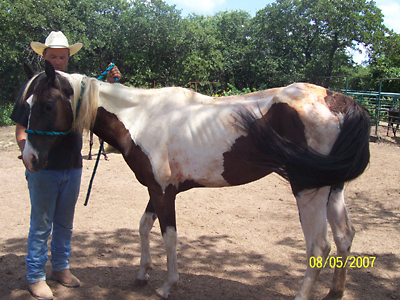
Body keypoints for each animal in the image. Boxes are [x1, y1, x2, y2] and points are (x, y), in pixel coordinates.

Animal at [19, 59, 368, 298]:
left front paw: (166, 286)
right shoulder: (156, 189)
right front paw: (142, 273)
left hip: (309, 189)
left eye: (47, 104)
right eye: (28, 105)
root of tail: (339, 100)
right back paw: (335, 292)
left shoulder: (164, 193)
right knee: (344, 236)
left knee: (318, 247)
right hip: (333, 187)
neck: (141, 117)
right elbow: (144, 226)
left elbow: (169, 237)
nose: (30, 158)